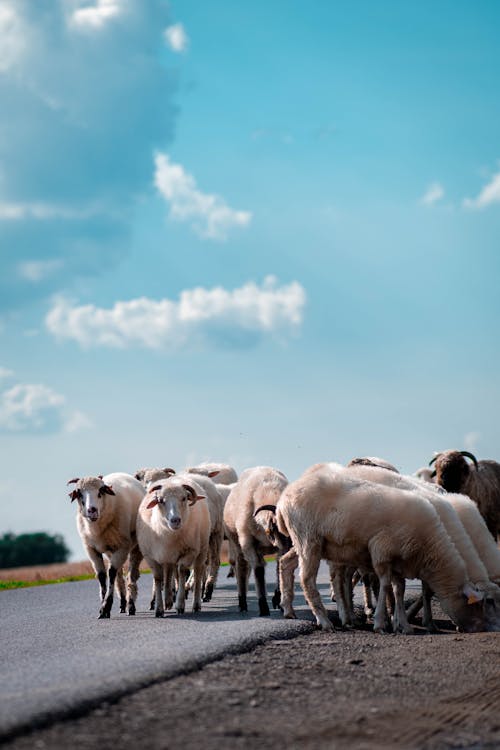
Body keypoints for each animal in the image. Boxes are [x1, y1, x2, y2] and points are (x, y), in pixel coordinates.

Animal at [68, 472, 145, 620]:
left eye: (100, 492)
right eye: (79, 494)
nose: (92, 510)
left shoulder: (122, 547)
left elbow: (111, 573)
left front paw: (106, 607)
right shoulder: (91, 549)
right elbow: (102, 576)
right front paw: (103, 607)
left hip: (135, 547)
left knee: (131, 575)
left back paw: (130, 605)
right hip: (111, 550)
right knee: (120, 576)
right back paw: (123, 605)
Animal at [136, 478, 210, 620]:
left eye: (184, 498)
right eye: (160, 500)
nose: (175, 520)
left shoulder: (190, 551)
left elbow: (182, 572)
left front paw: (180, 605)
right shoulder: (150, 557)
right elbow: (158, 578)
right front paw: (159, 609)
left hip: (202, 549)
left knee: (197, 573)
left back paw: (196, 604)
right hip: (168, 557)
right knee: (169, 574)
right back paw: (168, 601)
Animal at [224, 468, 290, 620]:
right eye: (280, 527)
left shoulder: (280, 547)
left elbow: (279, 566)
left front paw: (278, 599)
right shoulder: (248, 543)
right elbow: (259, 570)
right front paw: (263, 607)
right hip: (237, 542)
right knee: (242, 567)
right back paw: (242, 603)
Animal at [276, 468, 486, 636]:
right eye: (478, 605)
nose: (483, 628)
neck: (429, 547)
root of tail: (283, 499)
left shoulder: (400, 558)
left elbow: (399, 589)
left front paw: (402, 624)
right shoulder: (381, 550)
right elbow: (385, 585)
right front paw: (381, 622)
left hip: (313, 543)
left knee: (287, 563)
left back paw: (288, 608)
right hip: (308, 538)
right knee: (307, 579)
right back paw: (326, 621)